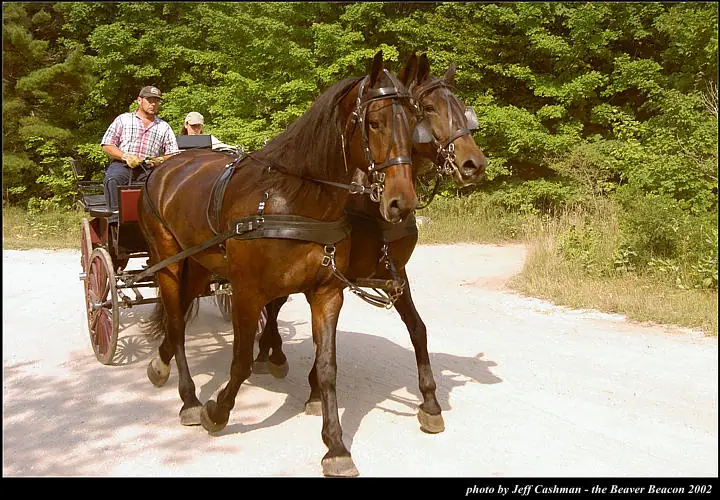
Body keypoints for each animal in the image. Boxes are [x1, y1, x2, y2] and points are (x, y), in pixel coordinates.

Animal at [137, 51, 419, 477]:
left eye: (414, 121)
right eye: (374, 122)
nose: (401, 202)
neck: (291, 200)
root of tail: (165, 167)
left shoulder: (327, 292)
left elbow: (328, 367)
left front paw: (335, 446)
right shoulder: (247, 291)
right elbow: (239, 361)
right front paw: (218, 412)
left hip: (198, 263)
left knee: (178, 317)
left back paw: (160, 364)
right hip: (167, 261)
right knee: (176, 323)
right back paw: (189, 400)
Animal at [254, 52, 487, 435]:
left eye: (460, 107)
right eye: (428, 108)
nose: (474, 165)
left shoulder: (395, 272)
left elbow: (418, 329)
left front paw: (430, 402)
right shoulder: (330, 274)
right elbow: (320, 338)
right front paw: (315, 392)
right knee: (272, 304)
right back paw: (268, 353)